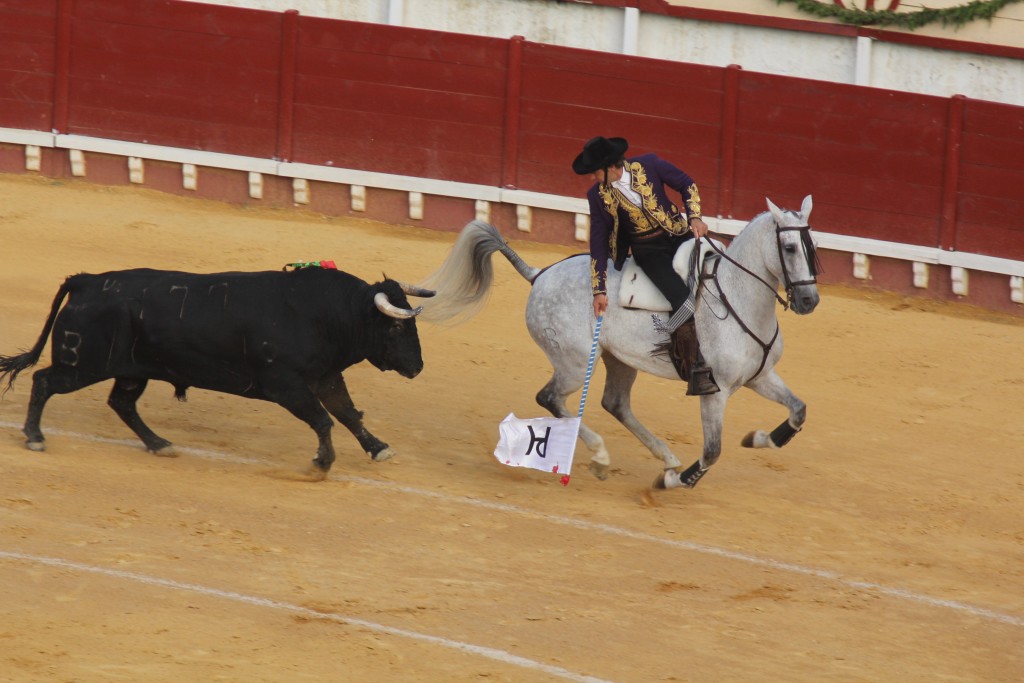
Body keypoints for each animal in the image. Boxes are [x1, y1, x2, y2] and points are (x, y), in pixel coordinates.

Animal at [0, 266, 432, 475]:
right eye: (396, 327)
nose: (417, 368)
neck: (326, 314)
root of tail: (86, 282)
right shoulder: (285, 384)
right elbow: (324, 419)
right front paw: (322, 463)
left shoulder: (324, 377)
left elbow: (347, 413)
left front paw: (379, 449)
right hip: (82, 363)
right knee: (44, 381)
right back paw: (35, 437)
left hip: (131, 371)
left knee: (121, 403)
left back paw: (160, 444)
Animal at [419, 194, 819, 489]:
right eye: (788, 248)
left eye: (811, 244)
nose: (809, 300)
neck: (737, 295)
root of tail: (540, 274)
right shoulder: (714, 391)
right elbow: (712, 450)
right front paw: (673, 482)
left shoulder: (760, 376)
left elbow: (799, 409)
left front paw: (760, 439)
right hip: (576, 362)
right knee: (550, 397)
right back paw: (603, 457)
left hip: (620, 359)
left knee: (615, 403)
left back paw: (666, 458)